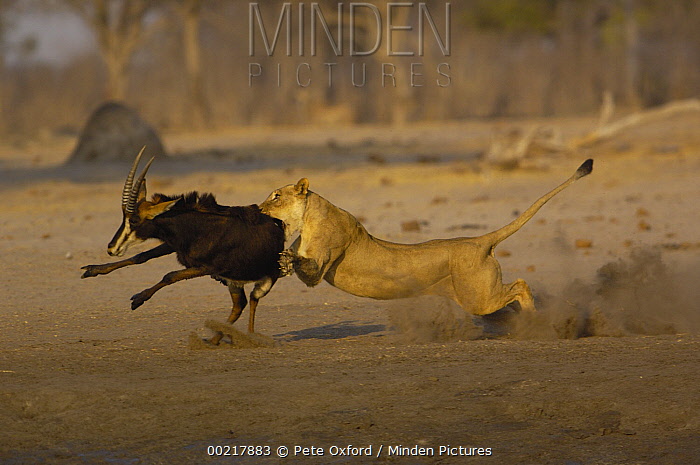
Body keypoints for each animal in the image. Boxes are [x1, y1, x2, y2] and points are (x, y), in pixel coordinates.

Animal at [82, 149, 288, 340]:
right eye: (123, 216)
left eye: (133, 220)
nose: (112, 248)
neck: (197, 226)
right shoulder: (174, 245)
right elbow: (140, 257)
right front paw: (92, 270)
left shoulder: (207, 267)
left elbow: (170, 275)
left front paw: (138, 299)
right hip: (232, 282)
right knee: (239, 305)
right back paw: (214, 341)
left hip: (258, 282)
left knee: (251, 300)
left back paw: (247, 336)